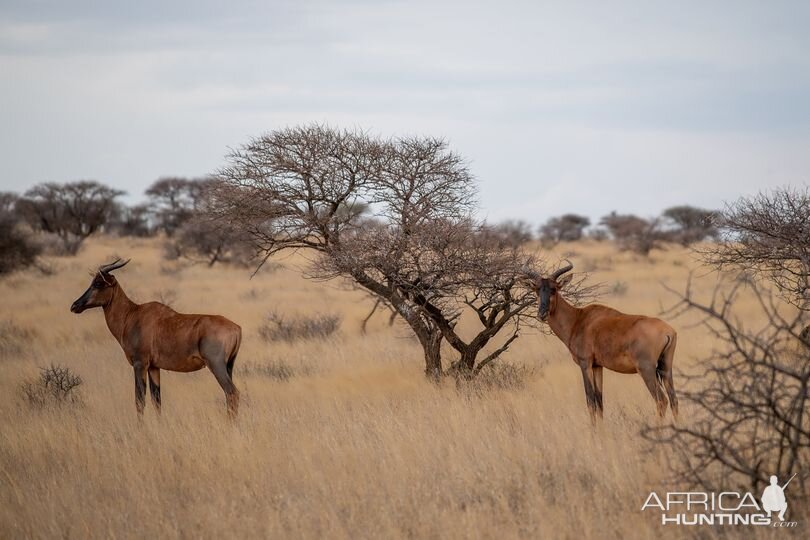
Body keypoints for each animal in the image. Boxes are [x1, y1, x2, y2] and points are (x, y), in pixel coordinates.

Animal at [70, 260, 240, 416]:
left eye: (99, 283)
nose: (75, 306)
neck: (131, 315)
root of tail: (237, 328)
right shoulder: (154, 367)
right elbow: (156, 400)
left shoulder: (140, 364)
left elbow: (139, 400)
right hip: (228, 366)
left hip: (216, 365)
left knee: (232, 392)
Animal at [532, 262, 676, 422]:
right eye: (537, 289)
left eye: (554, 289)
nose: (542, 314)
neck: (578, 319)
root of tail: (667, 331)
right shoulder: (597, 366)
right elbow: (599, 402)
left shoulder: (585, 364)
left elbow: (590, 400)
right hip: (666, 367)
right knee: (674, 399)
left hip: (646, 369)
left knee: (662, 400)